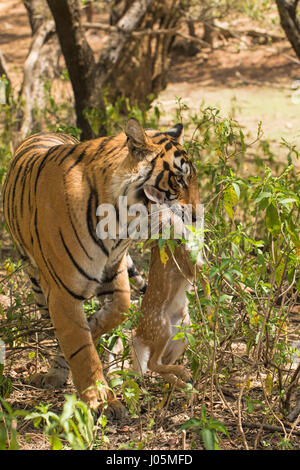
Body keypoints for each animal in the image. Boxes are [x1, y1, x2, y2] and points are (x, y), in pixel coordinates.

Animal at [2, 118, 199, 418]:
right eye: (178, 179)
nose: (197, 215)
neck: (119, 221)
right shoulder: (62, 292)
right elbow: (81, 350)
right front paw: (101, 401)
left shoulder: (114, 271)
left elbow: (118, 311)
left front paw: (95, 328)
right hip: (36, 283)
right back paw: (58, 373)